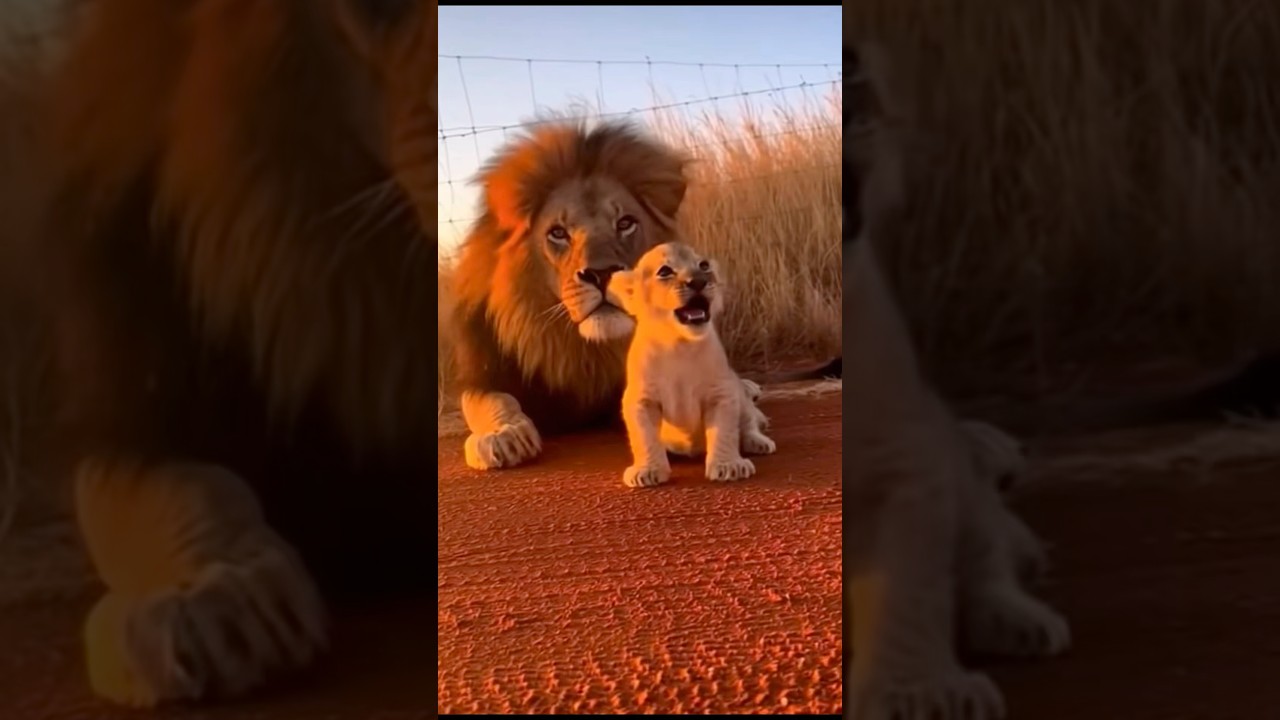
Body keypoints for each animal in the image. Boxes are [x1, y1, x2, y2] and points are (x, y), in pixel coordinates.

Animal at [605, 241, 776, 488]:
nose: (698, 281)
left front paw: (729, 466)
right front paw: (647, 471)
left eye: (703, 265)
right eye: (665, 271)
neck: (679, 344)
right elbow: (645, 436)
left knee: (748, 421)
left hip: (739, 394)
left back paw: (758, 442)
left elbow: (725, 432)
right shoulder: (641, 399)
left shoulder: (721, 393)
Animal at [842, 43, 1070, 719]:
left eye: (850, 59)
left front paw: (917, 694)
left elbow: (909, 591)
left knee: (989, 554)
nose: (853, 68)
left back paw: (1015, 619)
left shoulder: (906, 459)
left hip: (954, 470)